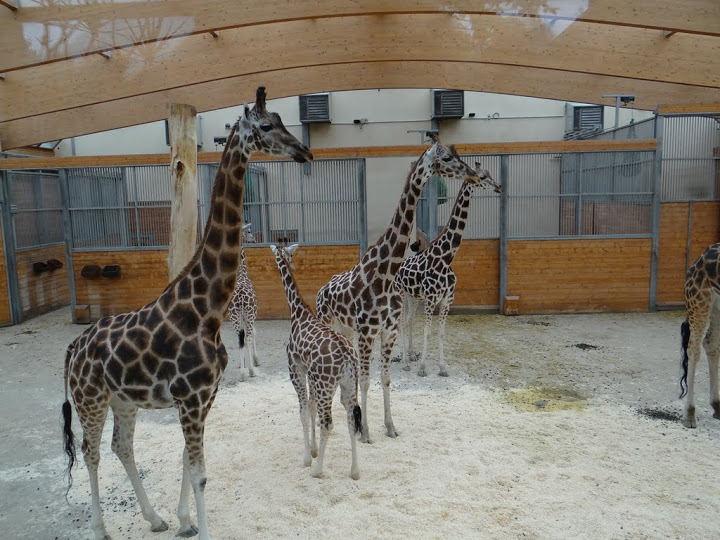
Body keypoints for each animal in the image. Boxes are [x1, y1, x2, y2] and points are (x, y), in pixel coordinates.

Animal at [60, 87, 312, 540]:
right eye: (267, 126)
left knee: (121, 447)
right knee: (90, 452)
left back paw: (154, 518)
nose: (304, 152)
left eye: (285, 120)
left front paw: (182, 520)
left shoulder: (205, 396)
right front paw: (197, 525)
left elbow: (184, 460)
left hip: (122, 399)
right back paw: (100, 527)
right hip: (90, 398)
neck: (206, 311)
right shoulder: (190, 397)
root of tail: (73, 348)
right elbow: (200, 473)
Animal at [270, 243, 362, 479]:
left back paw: (318, 470)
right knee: (351, 420)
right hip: (349, 384)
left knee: (328, 424)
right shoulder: (309, 373)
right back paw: (354, 471)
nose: (289, 262)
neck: (297, 312)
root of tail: (348, 357)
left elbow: (303, 412)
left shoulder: (295, 369)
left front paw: (306, 458)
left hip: (325, 385)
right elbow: (310, 409)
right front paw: (312, 450)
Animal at [395, 162, 502, 377]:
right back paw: (405, 361)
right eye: (483, 177)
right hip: (400, 293)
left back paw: (411, 354)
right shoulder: (430, 300)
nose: (499, 187)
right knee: (401, 322)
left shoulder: (446, 300)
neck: (445, 259)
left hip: (412, 296)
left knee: (409, 320)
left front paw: (442, 367)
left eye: (490, 175)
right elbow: (428, 331)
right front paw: (423, 368)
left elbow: (441, 333)